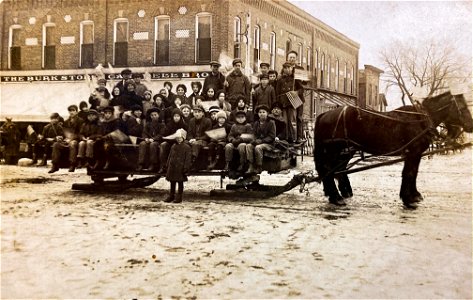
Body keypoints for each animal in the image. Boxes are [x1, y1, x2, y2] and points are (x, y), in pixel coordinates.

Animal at [314, 92, 472, 209]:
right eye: (463, 108)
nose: (471, 126)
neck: (421, 118)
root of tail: (323, 115)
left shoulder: (415, 154)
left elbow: (413, 173)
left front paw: (414, 195)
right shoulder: (413, 152)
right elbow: (409, 173)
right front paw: (408, 199)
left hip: (345, 149)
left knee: (337, 169)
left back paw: (339, 193)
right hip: (335, 149)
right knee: (329, 170)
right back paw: (336, 197)